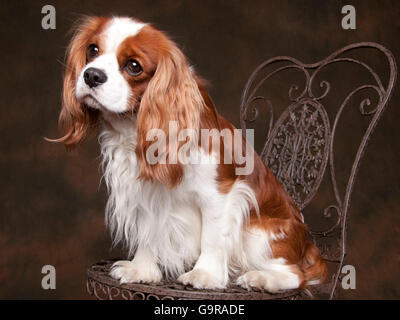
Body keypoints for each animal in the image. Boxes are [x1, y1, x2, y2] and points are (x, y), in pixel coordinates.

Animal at [53, 15, 326, 292]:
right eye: (92, 50)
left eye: (134, 66)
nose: (92, 75)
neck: (134, 129)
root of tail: (307, 245)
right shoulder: (143, 193)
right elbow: (148, 231)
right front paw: (142, 269)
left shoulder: (220, 194)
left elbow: (212, 238)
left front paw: (205, 275)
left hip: (259, 235)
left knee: (296, 276)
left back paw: (259, 278)